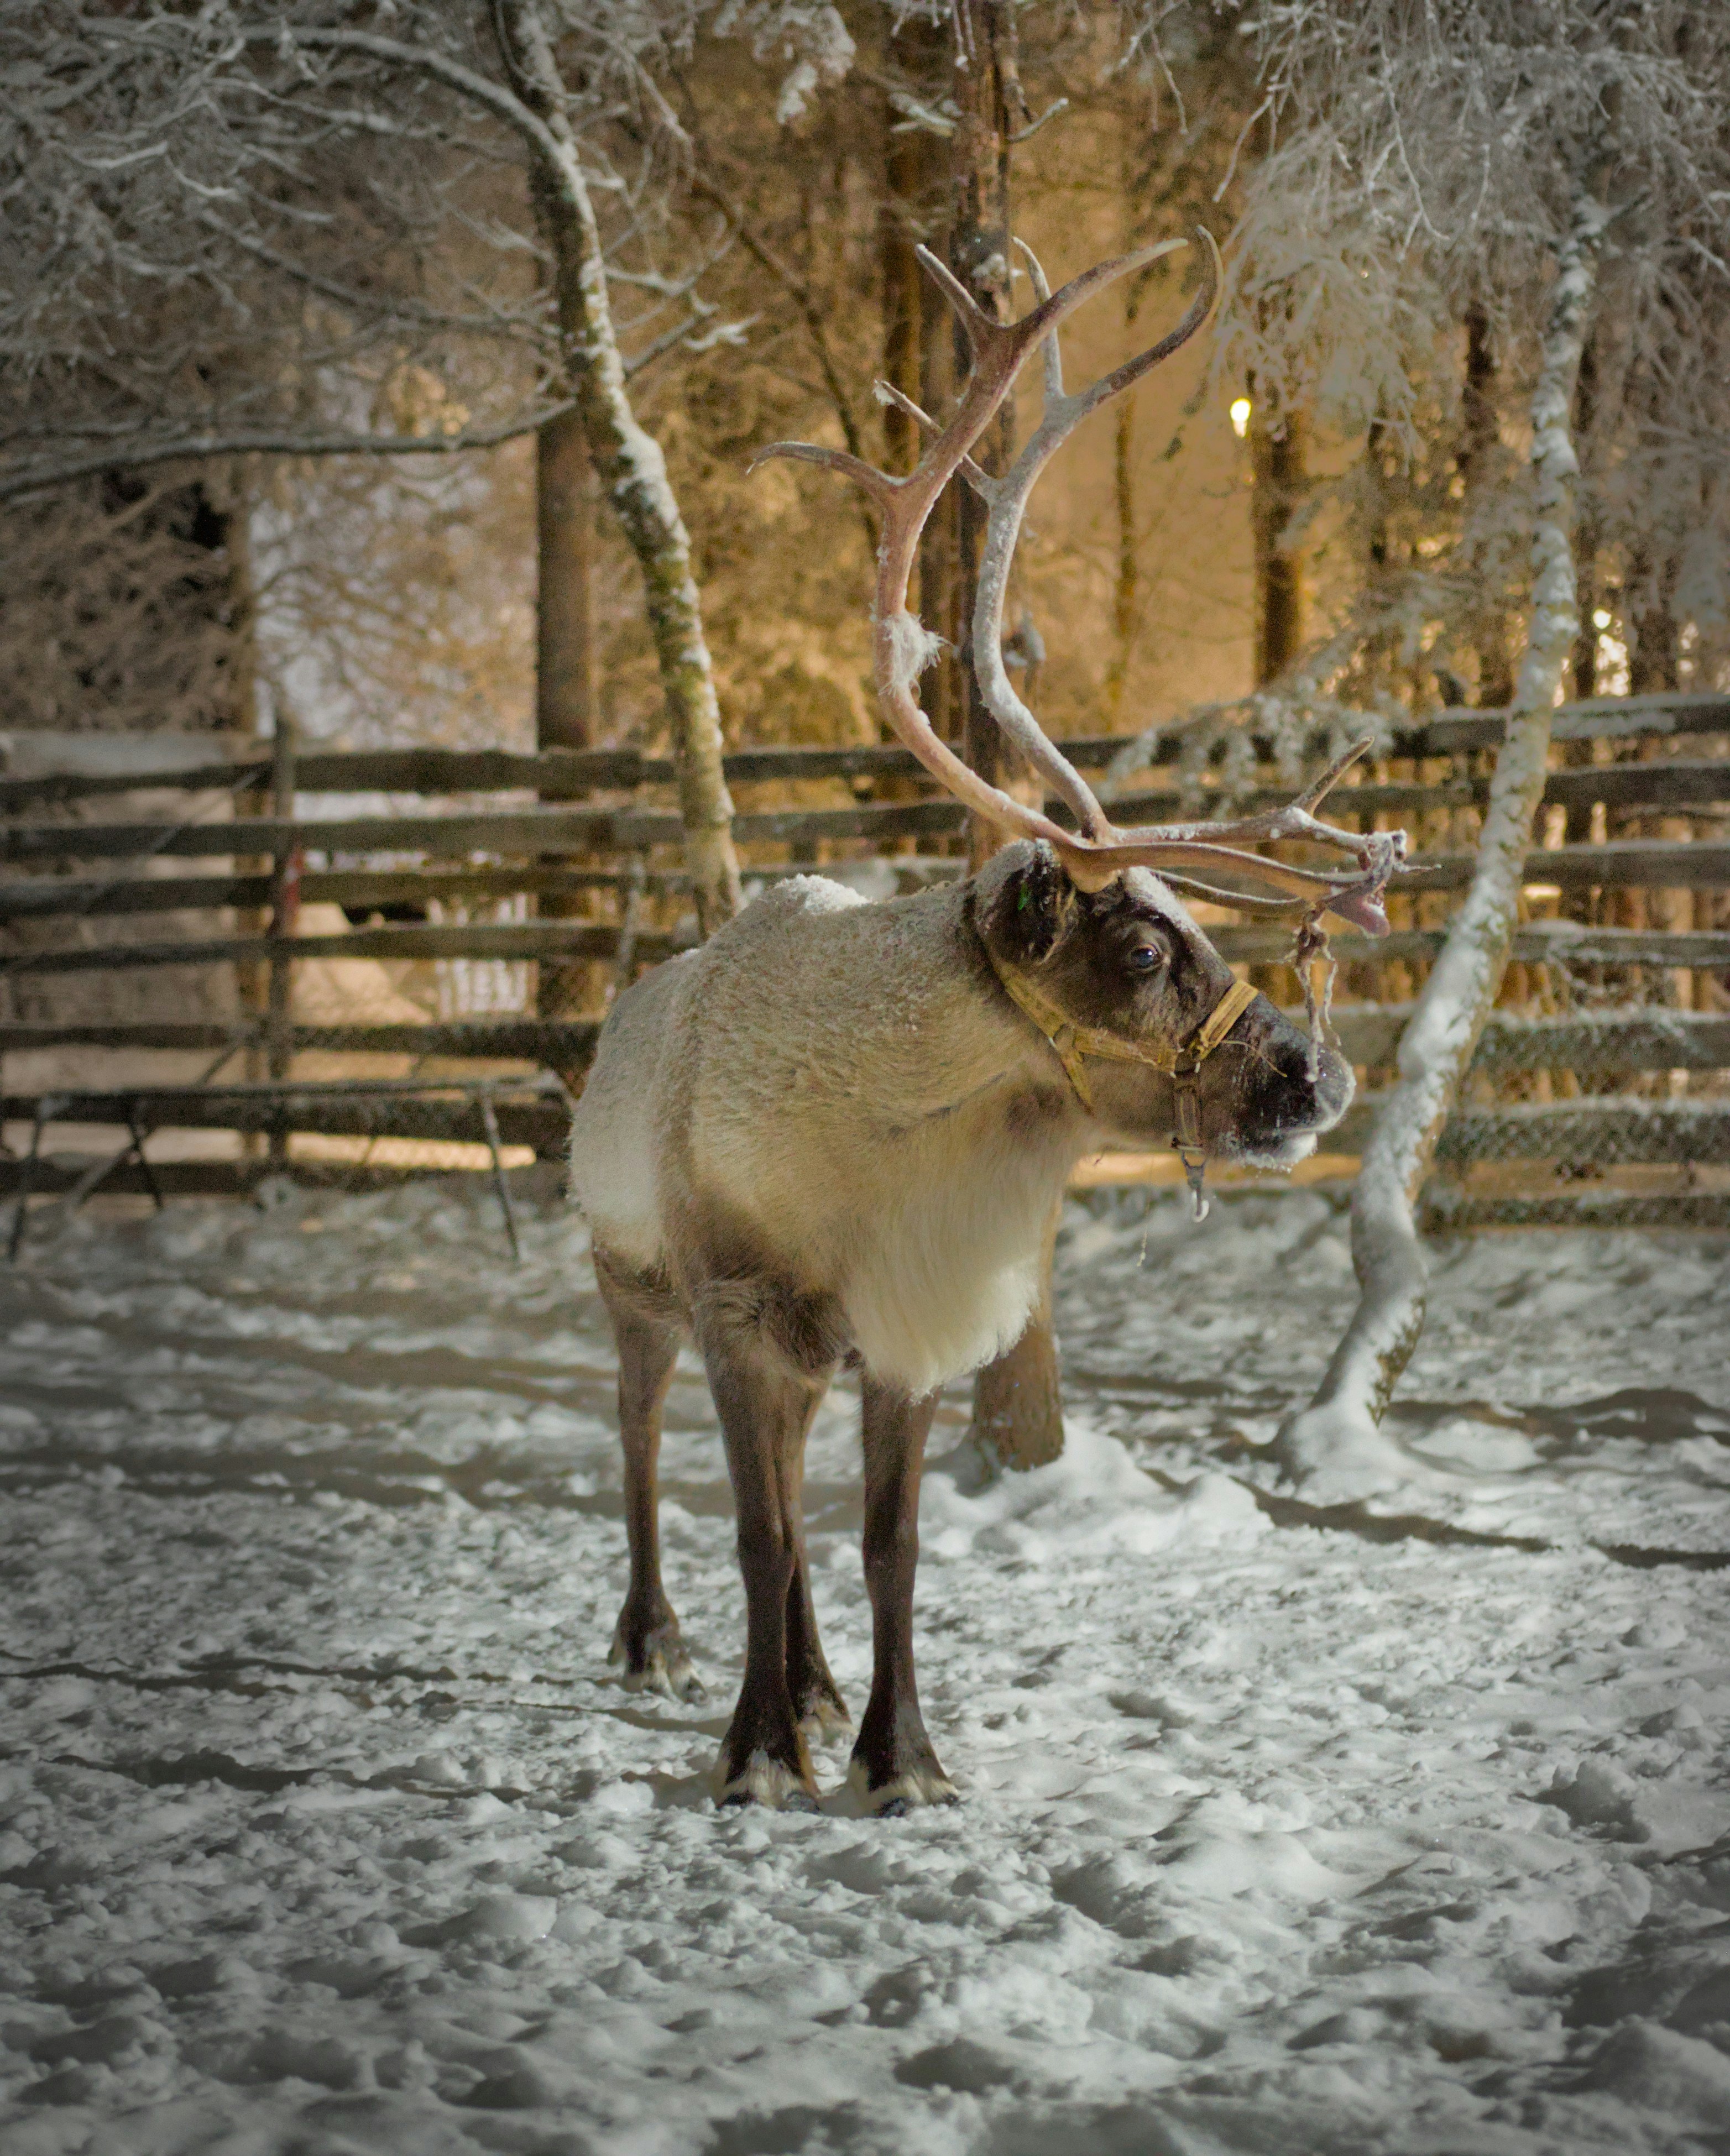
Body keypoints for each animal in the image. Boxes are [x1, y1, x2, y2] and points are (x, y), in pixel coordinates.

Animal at [568, 234, 1407, 1814]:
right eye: (1139, 946)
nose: (1317, 1070)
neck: (889, 1138)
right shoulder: (735, 1310)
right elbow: (759, 1532)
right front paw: (758, 1757)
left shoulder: (896, 1328)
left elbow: (884, 1545)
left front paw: (898, 1755)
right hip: (629, 1287)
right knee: (644, 1445)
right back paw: (658, 1645)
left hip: (798, 1357)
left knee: (794, 1492)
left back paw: (816, 1682)